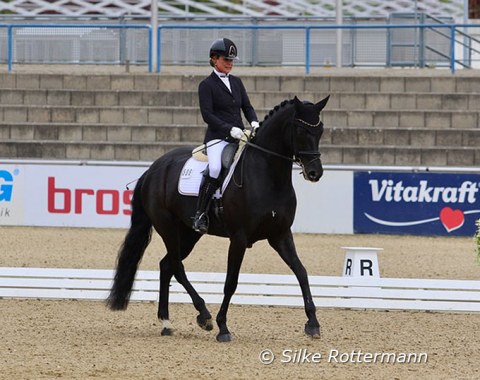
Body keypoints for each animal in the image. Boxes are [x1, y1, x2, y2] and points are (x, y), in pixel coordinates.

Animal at [106, 95, 328, 342]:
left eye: (320, 130)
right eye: (300, 130)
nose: (315, 173)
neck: (269, 176)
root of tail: (153, 170)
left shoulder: (280, 235)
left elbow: (301, 272)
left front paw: (313, 324)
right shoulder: (239, 238)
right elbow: (231, 282)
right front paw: (223, 327)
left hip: (189, 232)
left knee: (167, 265)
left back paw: (167, 323)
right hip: (167, 227)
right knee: (176, 266)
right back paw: (204, 316)